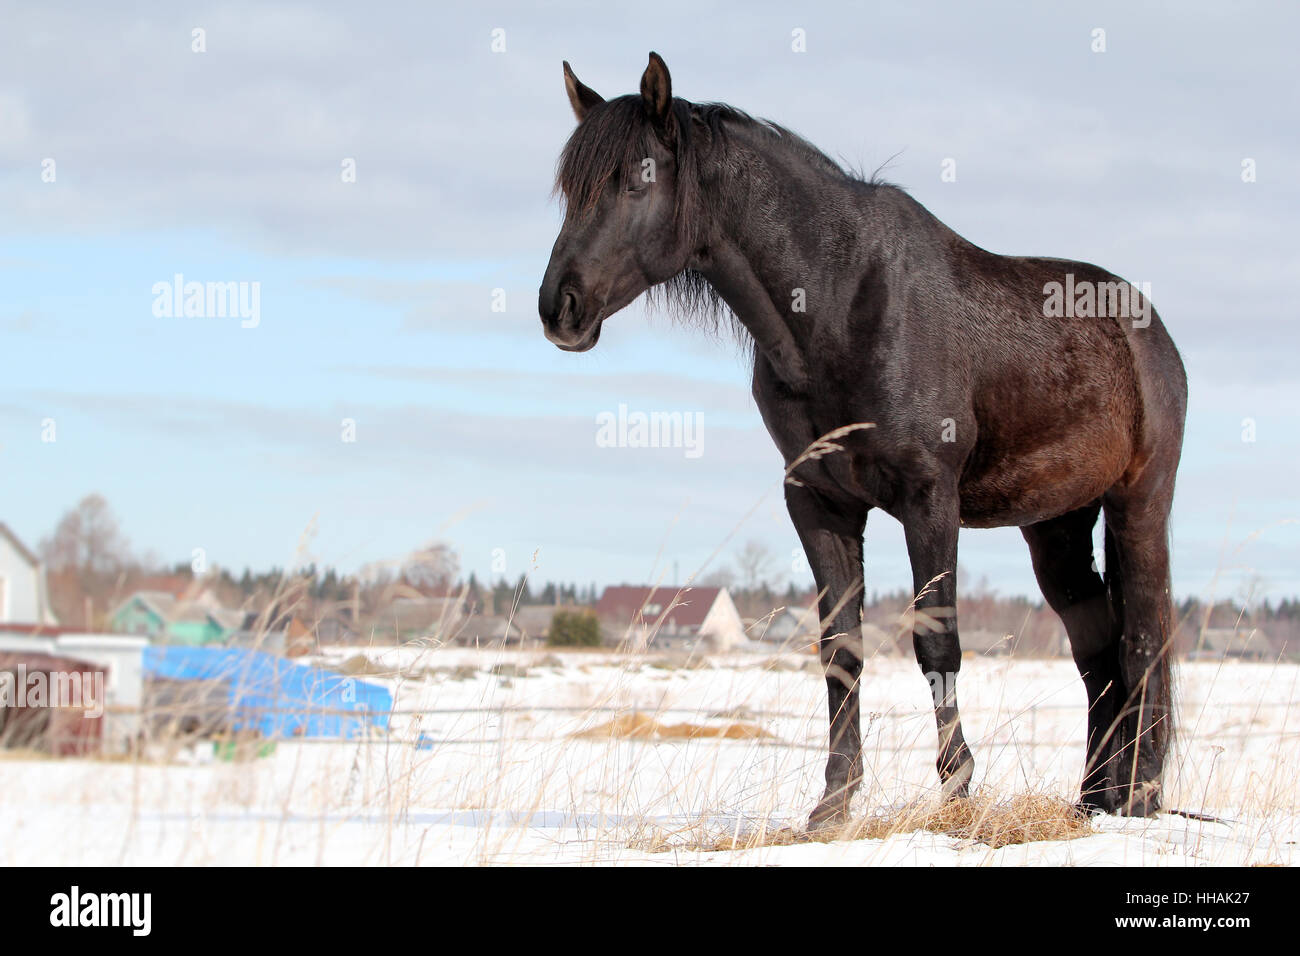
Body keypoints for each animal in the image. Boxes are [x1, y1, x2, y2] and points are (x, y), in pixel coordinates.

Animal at [538, 52, 1187, 829]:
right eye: (570, 186)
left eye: (637, 177)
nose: (559, 307)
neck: (842, 301)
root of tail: (1150, 334)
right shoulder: (820, 503)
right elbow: (839, 647)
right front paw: (834, 801)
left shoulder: (929, 500)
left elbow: (937, 640)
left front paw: (957, 787)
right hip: (1056, 526)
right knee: (1098, 657)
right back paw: (1093, 800)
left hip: (1139, 503)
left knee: (1144, 641)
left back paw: (1140, 797)